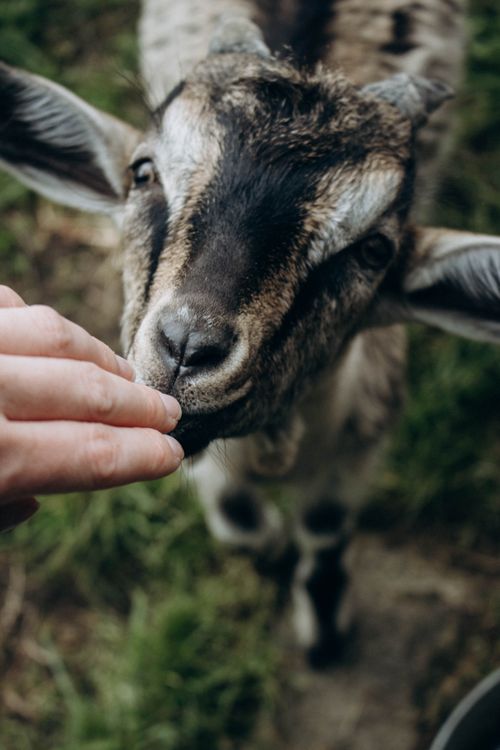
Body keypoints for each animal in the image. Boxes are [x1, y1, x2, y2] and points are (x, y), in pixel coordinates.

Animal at [1, 0, 497, 666]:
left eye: (374, 249)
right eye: (143, 171)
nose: (187, 347)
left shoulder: (362, 439)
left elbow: (325, 529)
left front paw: (324, 631)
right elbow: (238, 518)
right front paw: (272, 556)